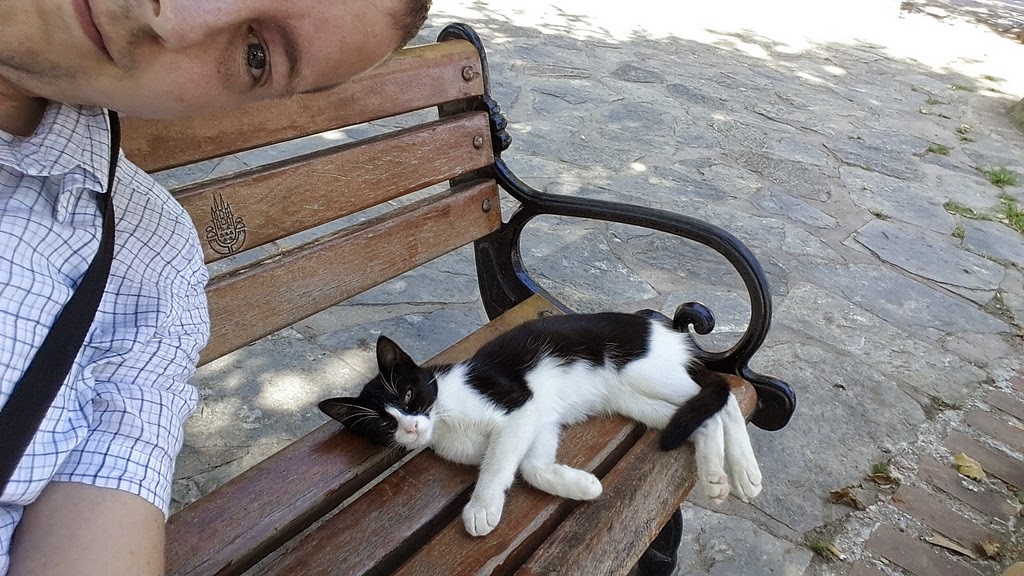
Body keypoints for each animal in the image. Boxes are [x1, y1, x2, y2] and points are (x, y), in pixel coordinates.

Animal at [319, 311, 761, 537]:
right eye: (383, 425)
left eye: (410, 396)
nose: (411, 429)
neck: (443, 417)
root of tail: (666, 328)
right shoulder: (540, 420)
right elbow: (531, 466)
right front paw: (581, 485)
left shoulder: (519, 407)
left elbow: (499, 464)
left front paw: (481, 507)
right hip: (631, 397)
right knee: (700, 417)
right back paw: (715, 477)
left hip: (648, 372)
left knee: (724, 396)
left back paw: (745, 473)